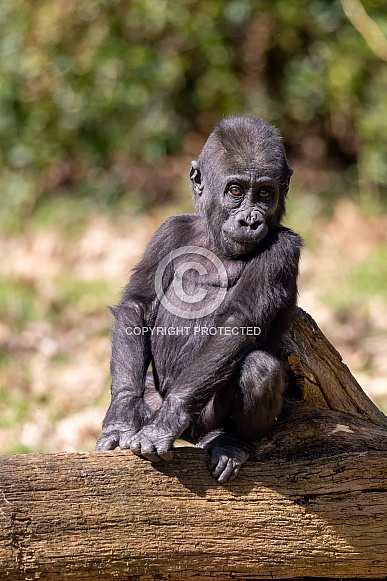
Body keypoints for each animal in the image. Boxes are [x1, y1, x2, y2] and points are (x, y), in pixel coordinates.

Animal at [97, 115, 304, 482]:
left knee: (258, 369)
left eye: (265, 193)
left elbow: (239, 323)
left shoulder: (284, 248)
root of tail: (194, 436)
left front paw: (166, 422)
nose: (250, 220)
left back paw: (230, 441)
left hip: (205, 419)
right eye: (236, 191)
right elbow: (138, 304)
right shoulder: (168, 230)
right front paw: (121, 415)